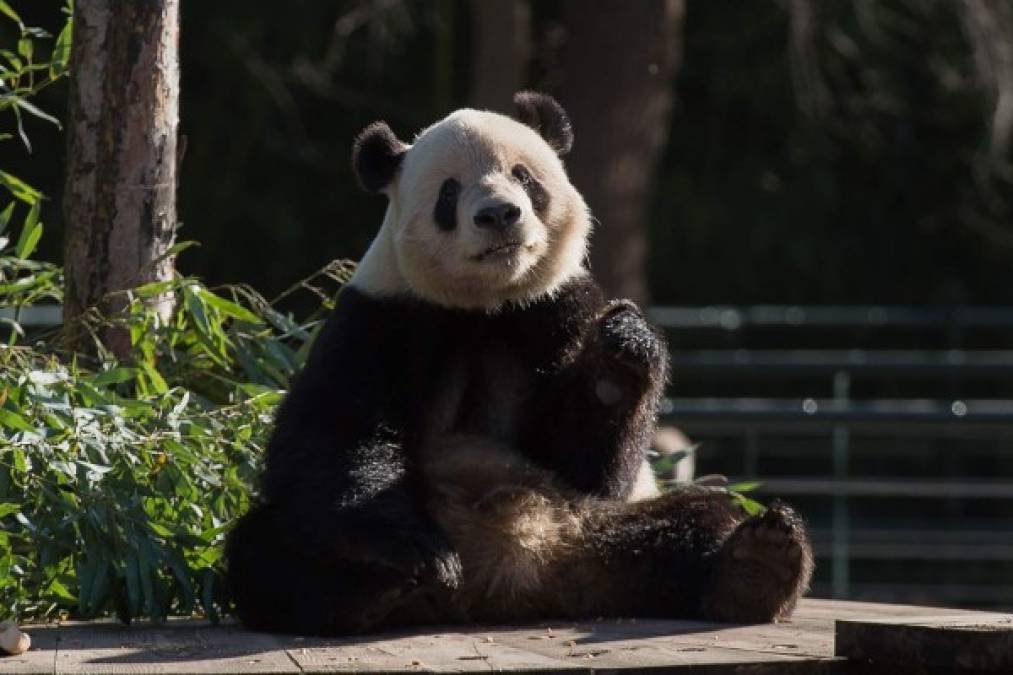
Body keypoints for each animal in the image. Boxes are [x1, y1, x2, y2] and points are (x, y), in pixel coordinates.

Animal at [223, 92, 814, 632]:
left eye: (524, 176)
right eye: (450, 190)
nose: (499, 213)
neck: (486, 302)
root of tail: (517, 580)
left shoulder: (559, 307)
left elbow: (590, 464)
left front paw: (620, 359)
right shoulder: (380, 318)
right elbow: (342, 440)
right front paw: (419, 552)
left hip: (600, 524)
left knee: (701, 518)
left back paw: (756, 566)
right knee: (267, 554)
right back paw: (381, 588)